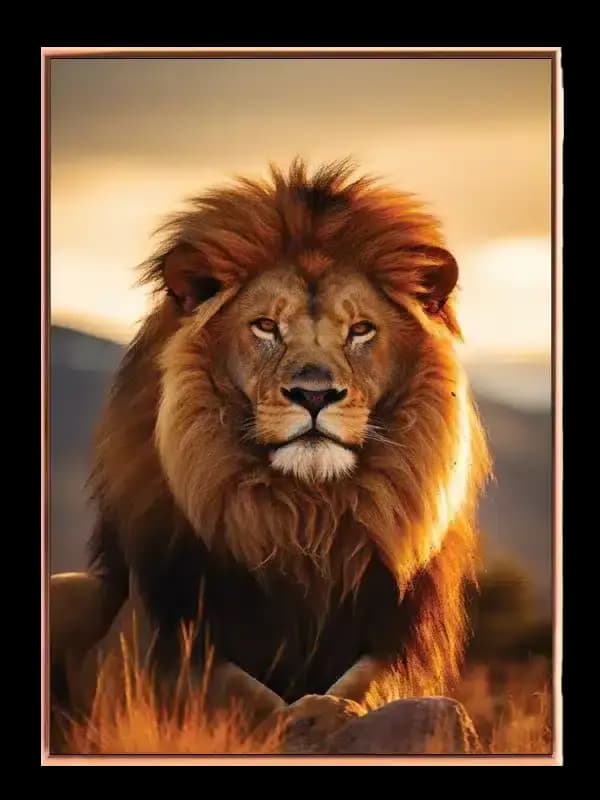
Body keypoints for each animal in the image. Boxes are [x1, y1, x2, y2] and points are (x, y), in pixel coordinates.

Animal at [50, 158, 491, 752]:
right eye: (265, 326)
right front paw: (294, 722)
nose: (314, 394)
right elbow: (243, 695)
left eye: (360, 330)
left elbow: (363, 686)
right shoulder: (169, 641)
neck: (306, 515)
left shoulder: (394, 639)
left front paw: (328, 713)